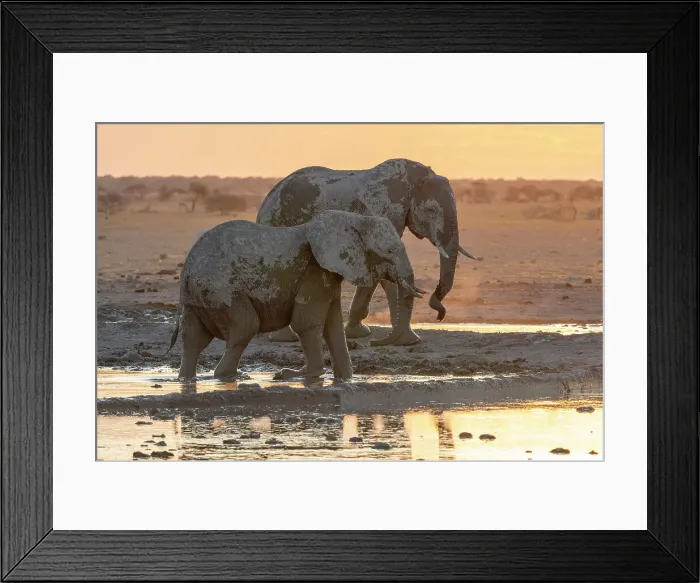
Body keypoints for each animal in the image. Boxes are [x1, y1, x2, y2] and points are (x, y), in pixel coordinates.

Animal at [165, 210, 424, 381]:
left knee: (193, 338)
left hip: (199, 293)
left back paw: (187, 379)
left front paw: (346, 379)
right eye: (390, 250)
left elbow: (333, 326)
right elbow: (306, 322)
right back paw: (231, 376)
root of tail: (188, 265)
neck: (354, 219)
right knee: (245, 326)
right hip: (221, 288)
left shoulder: (328, 273)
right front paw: (304, 375)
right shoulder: (314, 269)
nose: (375, 342)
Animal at [256, 158, 476, 346]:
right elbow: (378, 269)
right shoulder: (379, 212)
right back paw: (284, 338)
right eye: (431, 211)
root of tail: (268, 197)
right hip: (276, 222)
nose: (439, 314)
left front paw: (406, 341)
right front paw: (360, 334)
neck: (411, 179)